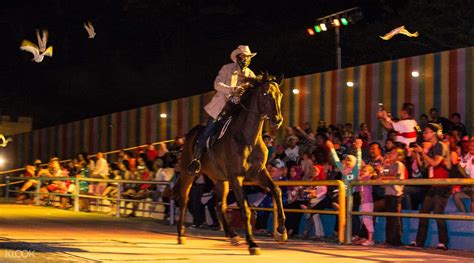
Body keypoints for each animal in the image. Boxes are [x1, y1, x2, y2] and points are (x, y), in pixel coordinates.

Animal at [177, 72, 286, 256]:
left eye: (280, 95)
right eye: (265, 94)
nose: (277, 120)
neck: (247, 138)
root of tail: (189, 135)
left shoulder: (257, 173)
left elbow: (276, 191)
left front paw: (281, 231)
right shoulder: (236, 178)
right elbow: (246, 209)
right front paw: (252, 243)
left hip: (220, 180)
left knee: (219, 205)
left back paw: (233, 235)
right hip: (188, 174)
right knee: (185, 200)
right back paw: (181, 235)